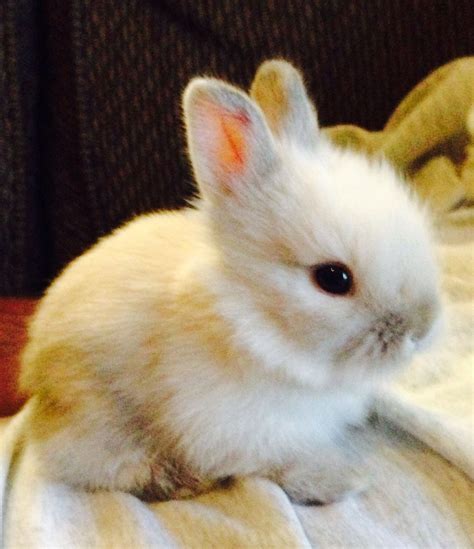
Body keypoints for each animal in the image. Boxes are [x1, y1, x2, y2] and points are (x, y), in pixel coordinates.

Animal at [18, 58, 440, 500]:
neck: (251, 323)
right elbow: (283, 464)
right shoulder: (236, 432)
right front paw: (344, 480)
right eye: (333, 279)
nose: (421, 329)